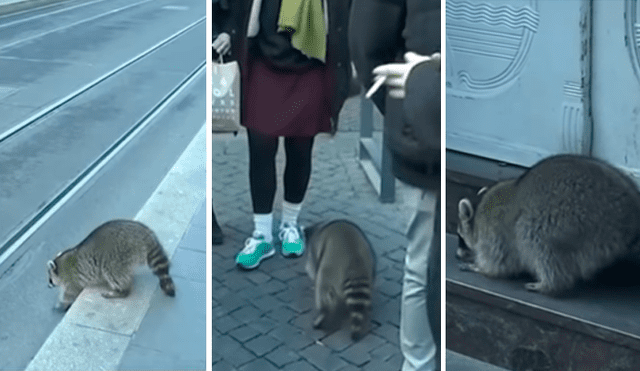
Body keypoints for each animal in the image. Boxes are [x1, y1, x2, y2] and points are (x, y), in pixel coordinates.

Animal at [458, 155, 640, 296]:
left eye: (460, 237)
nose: (457, 255)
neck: (477, 215)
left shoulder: (492, 233)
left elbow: (497, 262)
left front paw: (480, 267)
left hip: (574, 219)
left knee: (532, 236)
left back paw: (550, 284)